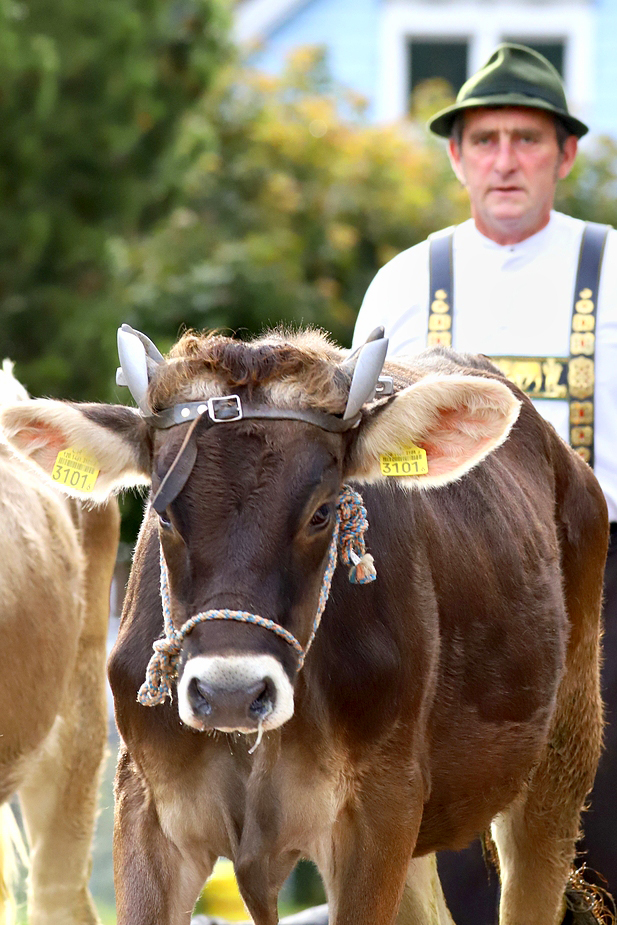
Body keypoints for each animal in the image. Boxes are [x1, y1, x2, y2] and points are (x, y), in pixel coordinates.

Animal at [0, 326, 608, 924]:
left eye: (322, 511)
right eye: (163, 514)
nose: (231, 693)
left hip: (561, 758)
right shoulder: (147, 804)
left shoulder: (379, 808)